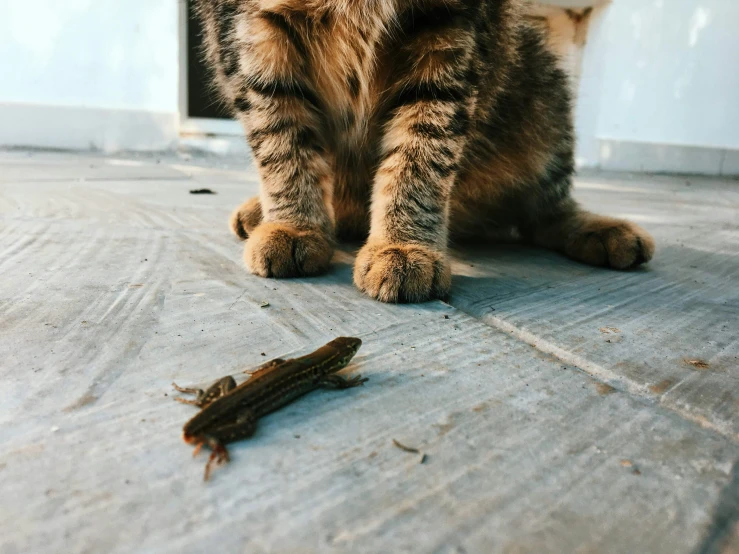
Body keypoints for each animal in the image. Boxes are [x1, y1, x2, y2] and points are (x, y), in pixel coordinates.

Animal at [194, 0, 656, 302]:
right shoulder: (247, 29)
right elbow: (282, 141)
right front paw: (295, 226)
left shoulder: (452, 30)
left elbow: (420, 155)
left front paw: (402, 244)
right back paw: (262, 212)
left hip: (541, 85)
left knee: (544, 211)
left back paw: (601, 229)